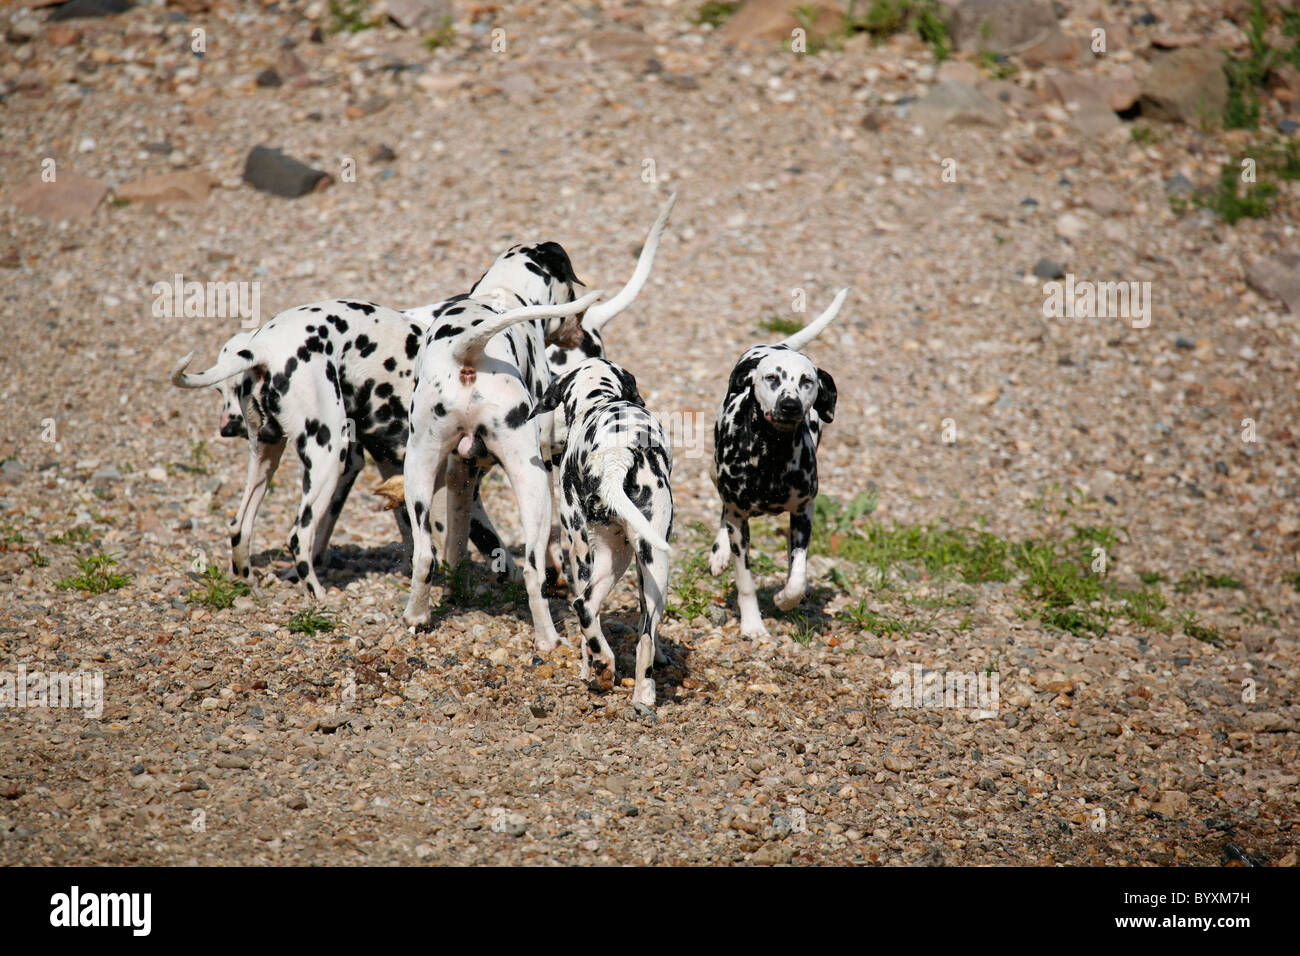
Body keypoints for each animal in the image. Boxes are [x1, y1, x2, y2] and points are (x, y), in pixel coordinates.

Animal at [712, 287, 852, 639]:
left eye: (807, 381)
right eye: (772, 378)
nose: (790, 405)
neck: (771, 457)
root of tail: (780, 345)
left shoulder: (803, 513)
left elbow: (798, 574)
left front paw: (786, 598)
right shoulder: (740, 524)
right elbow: (745, 581)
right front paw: (752, 624)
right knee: (722, 511)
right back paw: (719, 553)